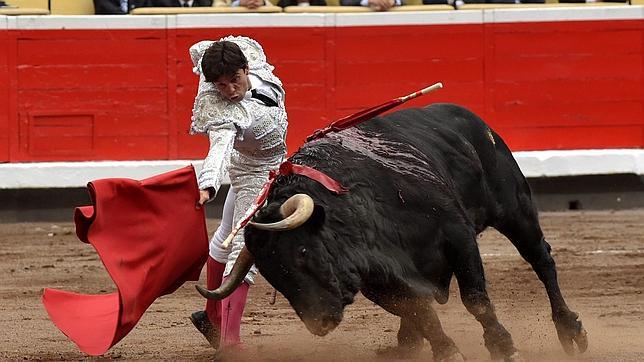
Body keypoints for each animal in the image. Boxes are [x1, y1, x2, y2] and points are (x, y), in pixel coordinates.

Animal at [196, 103, 588, 360]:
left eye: (303, 253)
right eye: (274, 276)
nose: (319, 323)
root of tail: (470, 117)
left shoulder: (457, 235)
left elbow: (475, 298)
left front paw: (502, 346)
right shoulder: (377, 277)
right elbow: (417, 309)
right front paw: (445, 350)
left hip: (515, 208)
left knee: (541, 260)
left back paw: (570, 331)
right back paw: (405, 344)